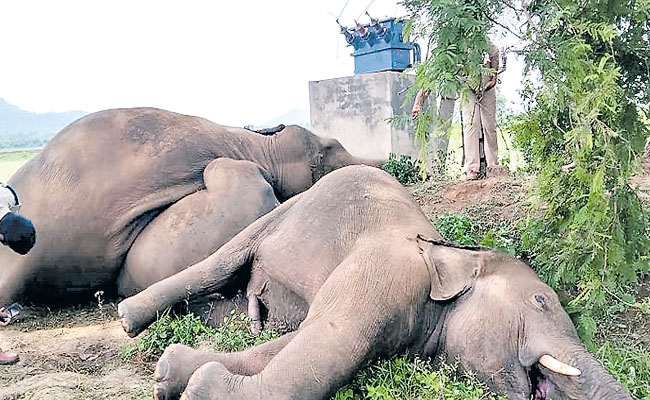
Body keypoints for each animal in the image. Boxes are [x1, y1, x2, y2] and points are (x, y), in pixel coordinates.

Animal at [117, 165, 632, 400]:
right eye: (542, 301)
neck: (448, 253)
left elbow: (296, 342)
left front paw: (174, 375)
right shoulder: (385, 273)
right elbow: (325, 348)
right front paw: (196, 387)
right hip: (281, 211)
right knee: (221, 263)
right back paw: (126, 318)